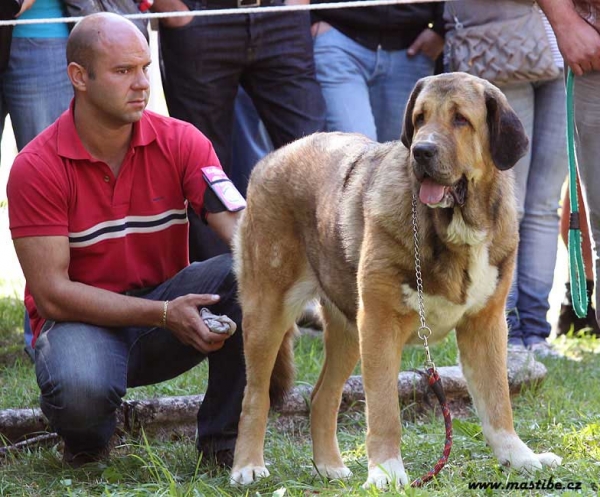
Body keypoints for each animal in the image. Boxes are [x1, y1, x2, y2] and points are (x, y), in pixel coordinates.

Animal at [231, 73, 564, 488]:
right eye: (420, 118)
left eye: (460, 120)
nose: (421, 151)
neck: (454, 228)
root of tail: (271, 158)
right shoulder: (380, 324)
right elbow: (384, 409)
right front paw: (386, 472)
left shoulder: (485, 325)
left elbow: (497, 401)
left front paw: (519, 458)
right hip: (269, 310)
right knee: (255, 393)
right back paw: (247, 466)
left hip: (347, 326)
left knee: (323, 395)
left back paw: (330, 467)